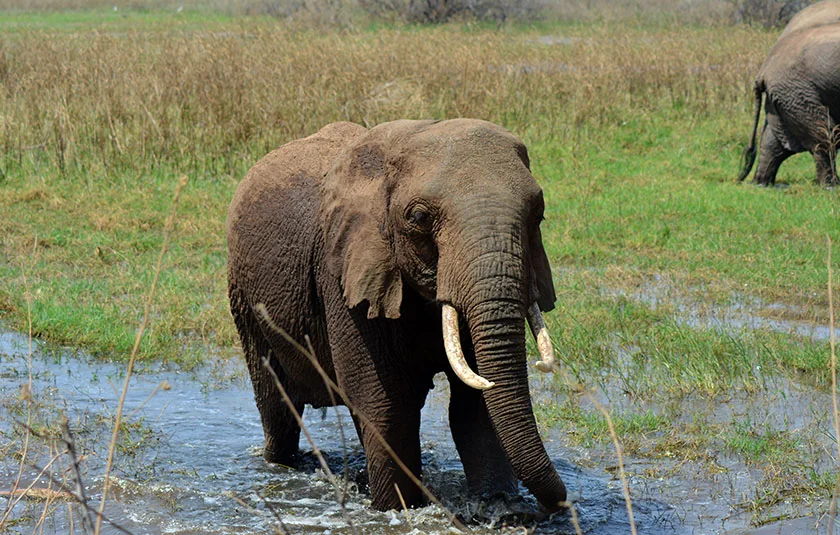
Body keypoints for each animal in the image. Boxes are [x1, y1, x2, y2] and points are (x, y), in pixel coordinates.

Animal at [226, 119, 567, 512]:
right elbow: (384, 401)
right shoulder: (345, 272)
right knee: (277, 406)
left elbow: (475, 406)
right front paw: (397, 510)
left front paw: (498, 507)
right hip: (243, 296)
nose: (556, 506)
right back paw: (280, 465)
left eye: (539, 214)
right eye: (418, 218)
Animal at [738, 23, 840, 186]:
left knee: (773, 142)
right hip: (798, 92)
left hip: (784, 96)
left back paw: (761, 184)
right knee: (826, 135)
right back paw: (830, 186)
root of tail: (763, 70)